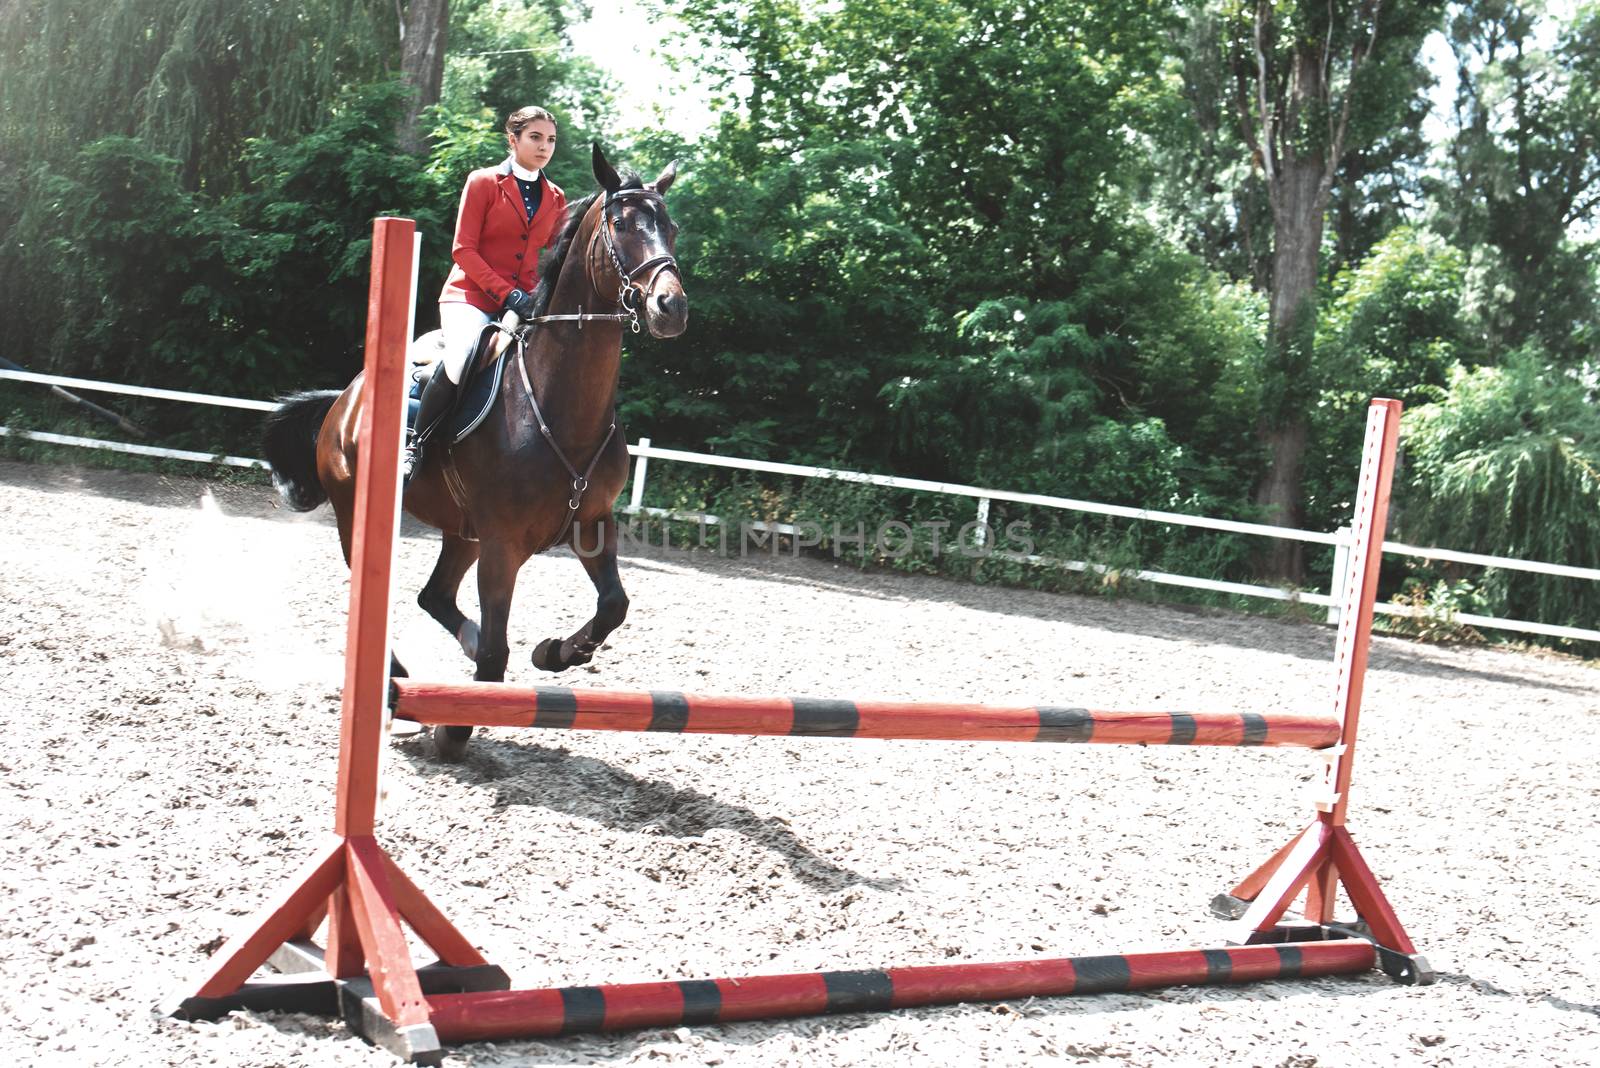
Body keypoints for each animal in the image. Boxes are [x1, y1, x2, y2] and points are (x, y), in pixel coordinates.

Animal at [264, 143, 688, 757]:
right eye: (622, 224)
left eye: (670, 228)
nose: (670, 307)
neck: (560, 404)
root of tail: (347, 396)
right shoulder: (503, 544)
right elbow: (495, 650)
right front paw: (456, 728)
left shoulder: (592, 522)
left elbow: (613, 605)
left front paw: (556, 652)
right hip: (363, 515)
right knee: (382, 602)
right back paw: (399, 691)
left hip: (462, 532)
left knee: (434, 597)